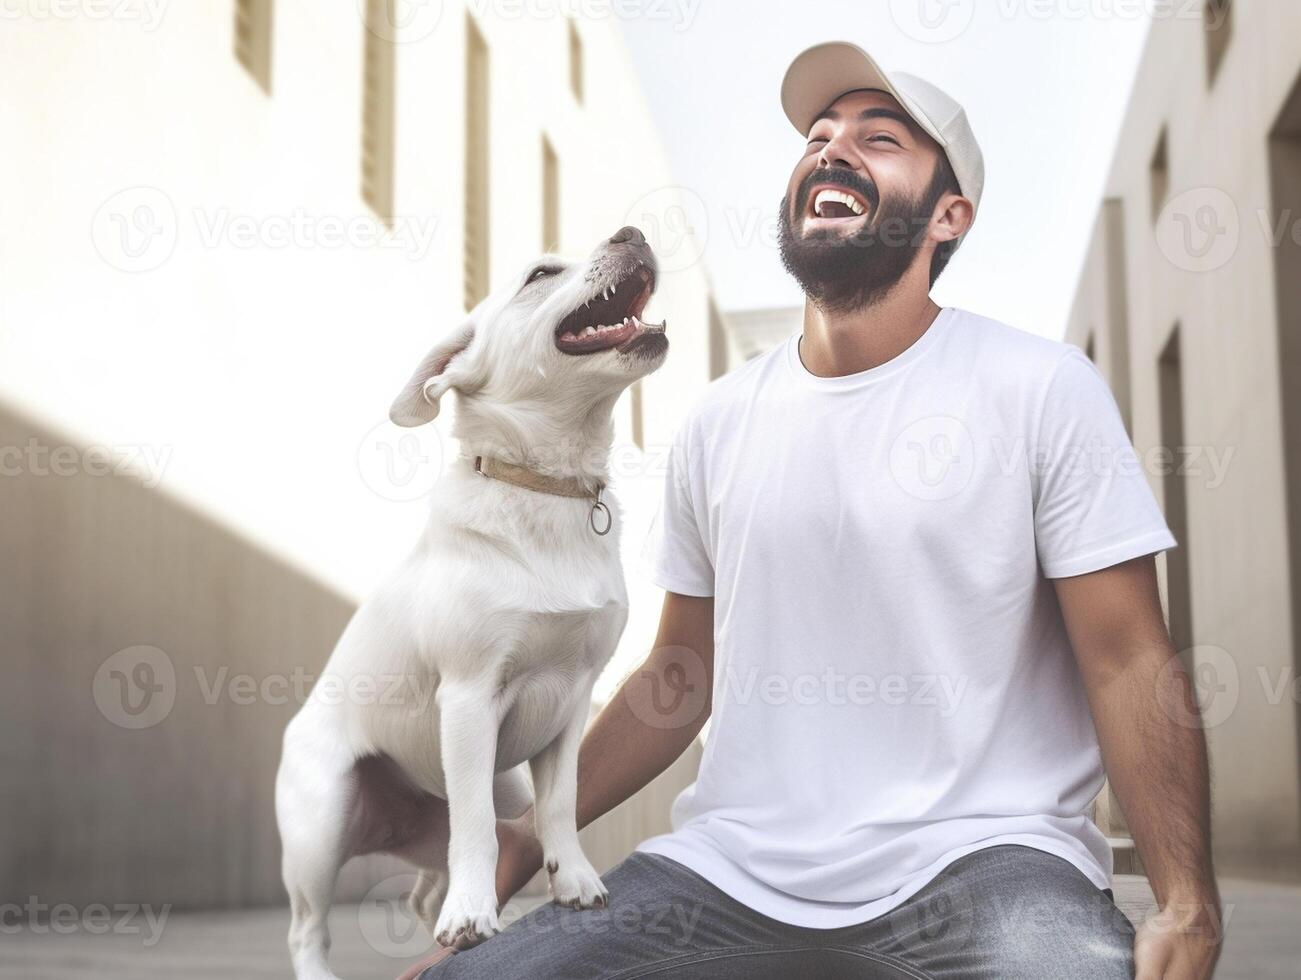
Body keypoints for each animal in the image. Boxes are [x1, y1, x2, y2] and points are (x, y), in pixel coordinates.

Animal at [269, 225, 666, 973]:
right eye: (540, 274)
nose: (632, 233)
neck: (544, 485)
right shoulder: (470, 695)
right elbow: (477, 827)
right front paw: (473, 916)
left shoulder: (572, 700)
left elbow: (561, 806)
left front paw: (574, 879)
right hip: (319, 824)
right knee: (308, 929)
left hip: (498, 785)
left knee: (432, 881)